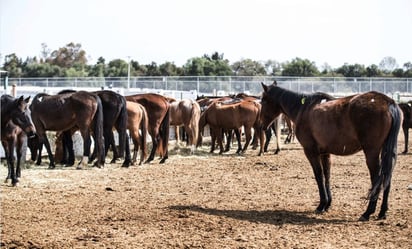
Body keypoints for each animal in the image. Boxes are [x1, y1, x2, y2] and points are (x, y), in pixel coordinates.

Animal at [260, 80, 402, 221]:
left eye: (263, 101)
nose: (261, 125)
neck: (303, 109)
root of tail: (388, 102)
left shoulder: (311, 152)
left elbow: (319, 176)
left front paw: (321, 205)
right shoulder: (325, 153)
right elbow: (327, 175)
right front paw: (327, 204)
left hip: (371, 152)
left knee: (377, 178)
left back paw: (368, 212)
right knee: (387, 177)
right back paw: (382, 212)